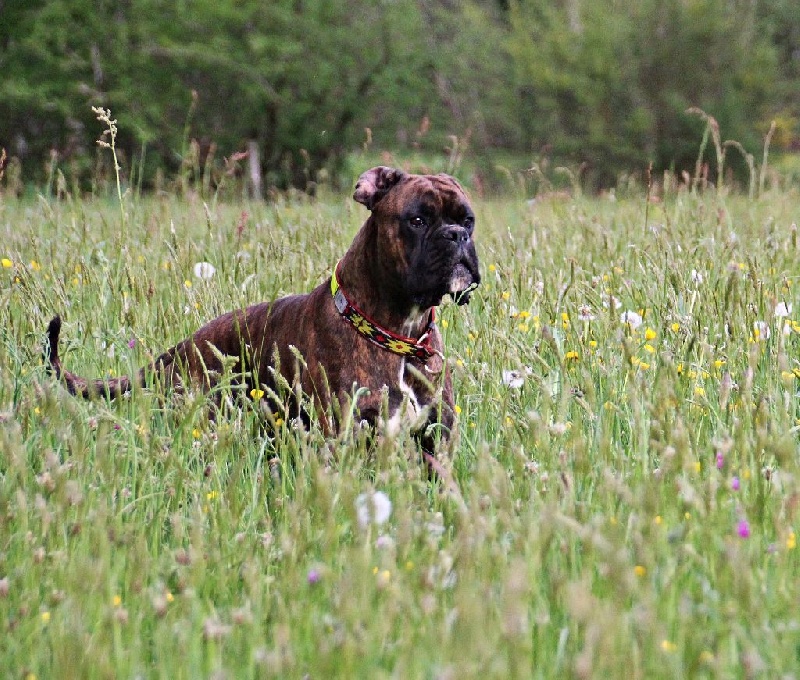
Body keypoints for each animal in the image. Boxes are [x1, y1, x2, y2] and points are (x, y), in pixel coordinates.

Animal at [45, 167, 482, 460]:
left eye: (468, 219)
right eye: (417, 220)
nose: (457, 236)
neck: (398, 332)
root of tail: (178, 351)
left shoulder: (435, 440)